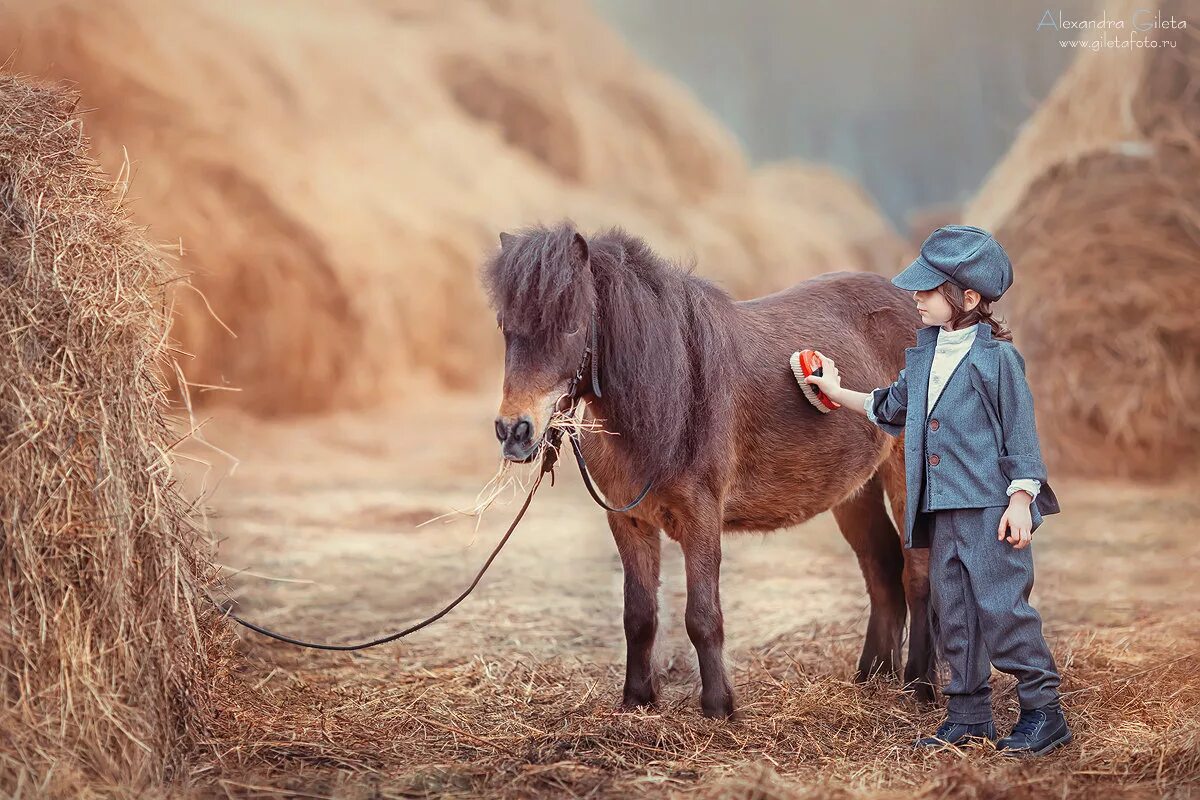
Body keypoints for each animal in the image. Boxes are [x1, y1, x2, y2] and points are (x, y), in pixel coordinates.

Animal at [482, 220, 931, 719]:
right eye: (505, 327)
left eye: (572, 325)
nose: (514, 431)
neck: (673, 395)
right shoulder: (629, 520)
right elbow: (639, 615)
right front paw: (637, 699)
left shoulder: (700, 518)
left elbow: (702, 617)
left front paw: (718, 706)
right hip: (854, 490)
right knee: (882, 568)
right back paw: (873, 676)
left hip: (904, 476)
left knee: (917, 575)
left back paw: (920, 686)